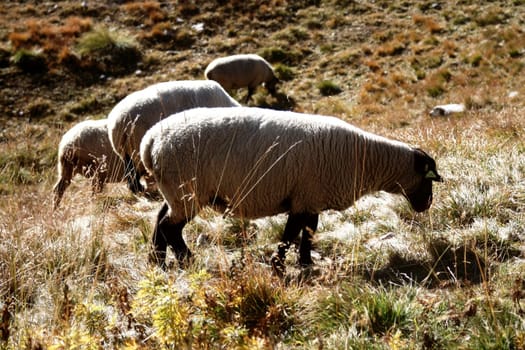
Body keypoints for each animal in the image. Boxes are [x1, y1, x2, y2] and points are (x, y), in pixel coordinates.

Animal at [107, 79, 242, 194]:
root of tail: (119, 122)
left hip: (125, 152)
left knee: (130, 173)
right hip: (136, 149)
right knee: (134, 174)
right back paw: (140, 189)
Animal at [139, 107, 442, 274]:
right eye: (427, 178)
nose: (426, 204)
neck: (364, 158)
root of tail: (149, 141)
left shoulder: (311, 198)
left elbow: (308, 233)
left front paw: (306, 263)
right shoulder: (303, 198)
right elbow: (289, 235)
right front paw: (279, 266)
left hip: (176, 191)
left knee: (160, 219)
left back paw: (157, 260)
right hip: (186, 190)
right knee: (170, 227)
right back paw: (186, 259)